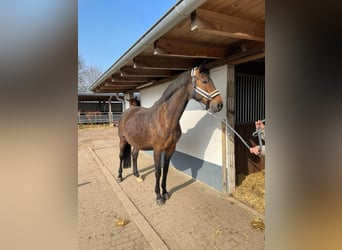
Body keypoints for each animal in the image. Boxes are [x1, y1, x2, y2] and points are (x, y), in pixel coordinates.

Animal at [117, 65, 224, 205]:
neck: (166, 119)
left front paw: (165, 192)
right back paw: (119, 176)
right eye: (205, 81)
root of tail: (127, 112)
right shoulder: (157, 150)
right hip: (122, 140)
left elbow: (166, 171)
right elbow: (158, 171)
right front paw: (158, 196)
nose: (219, 104)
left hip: (137, 142)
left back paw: (137, 175)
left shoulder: (170, 149)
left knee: (134, 155)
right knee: (120, 156)